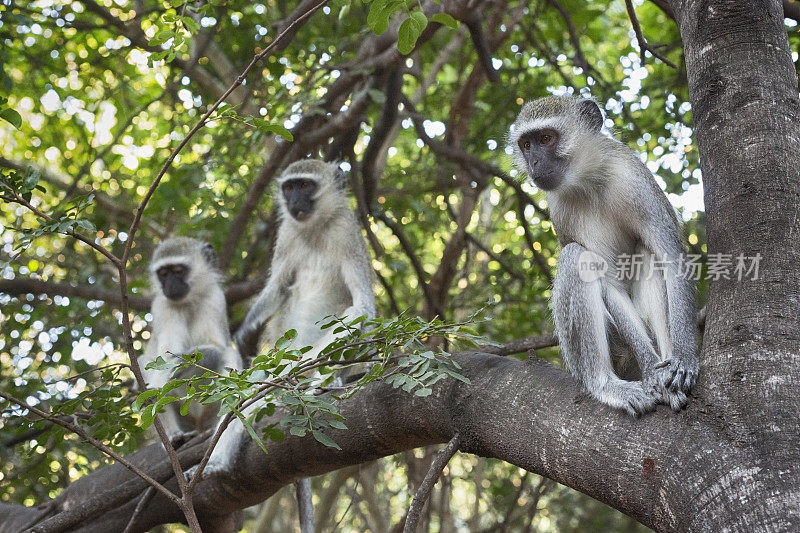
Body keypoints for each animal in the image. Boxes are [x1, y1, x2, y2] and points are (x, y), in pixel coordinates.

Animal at [139, 237, 242, 440]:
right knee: (143, 362)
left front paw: (185, 363)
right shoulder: (162, 307)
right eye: (163, 273)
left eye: (178, 271)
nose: (169, 286)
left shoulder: (215, 298)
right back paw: (175, 436)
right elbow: (161, 358)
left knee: (228, 353)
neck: (188, 302)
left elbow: (216, 347)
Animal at [510, 96, 696, 416]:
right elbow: (607, 281)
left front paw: (683, 359)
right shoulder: (560, 211)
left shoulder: (634, 180)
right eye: (526, 145)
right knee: (576, 257)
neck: (590, 181)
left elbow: (671, 258)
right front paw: (651, 371)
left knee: (647, 253)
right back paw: (605, 385)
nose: (533, 162)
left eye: (546, 138)